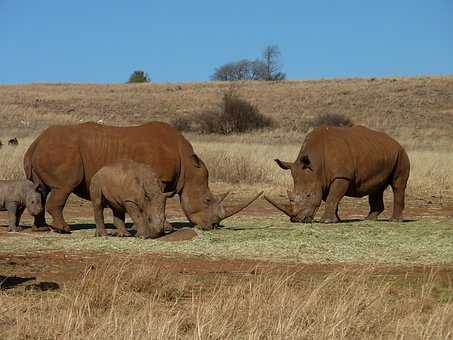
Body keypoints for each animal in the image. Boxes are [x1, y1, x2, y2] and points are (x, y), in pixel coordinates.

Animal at [23, 123, 262, 234]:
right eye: (207, 200)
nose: (212, 225)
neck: (187, 165)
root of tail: (35, 142)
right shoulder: (160, 180)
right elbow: (160, 202)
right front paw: (167, 228)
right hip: (61, 151)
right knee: (62, 188)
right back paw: (64, 229)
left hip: (47, 150)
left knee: (40, 190)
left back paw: (42, 229)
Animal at [264, 125, 410, 223]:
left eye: (308, 195)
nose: (297, 220)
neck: (315, 167)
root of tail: (396, 142)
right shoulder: (323, 179)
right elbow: (332, 198)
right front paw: (336, 220)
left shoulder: (341, 176)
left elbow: (332, 197)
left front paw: (326, 221)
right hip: (380, 153)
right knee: (376, 187)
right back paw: (368, 219)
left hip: (401, 154)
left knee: (398, 185)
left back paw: (394, 220)